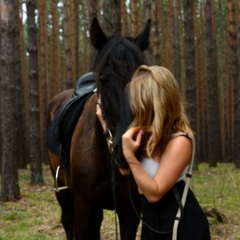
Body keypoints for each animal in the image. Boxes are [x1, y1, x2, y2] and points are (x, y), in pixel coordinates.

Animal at [46, 17, 151, 240]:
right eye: (103, 80)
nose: (129, 148)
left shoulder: (130, 211)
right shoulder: (86, 209)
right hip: (62, 192)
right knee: (67, 221)